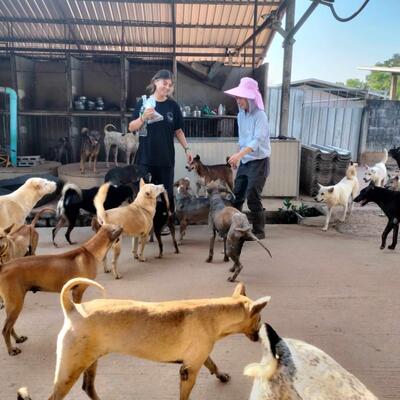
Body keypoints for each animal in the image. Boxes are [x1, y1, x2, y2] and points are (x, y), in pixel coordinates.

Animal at [0, 224, 122, 356]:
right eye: (116, 226)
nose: (122, 226)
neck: (91, 252)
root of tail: (3, 266)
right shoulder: (78, 291)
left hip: (12, 304)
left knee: (10, 326)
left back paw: (18, 339)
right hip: (15, 303)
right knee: (5, 329)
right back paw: (11, 349)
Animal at [17, 279, 270, 400]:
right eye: (259, 320)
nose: (261, 334)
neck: (216, 312)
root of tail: (73, 309)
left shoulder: (197, 358)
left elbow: (212, 363)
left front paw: (221, 374)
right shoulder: (188, 371)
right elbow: (185, 394)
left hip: (90, 361)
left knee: (88, 388)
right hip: (71, 369)